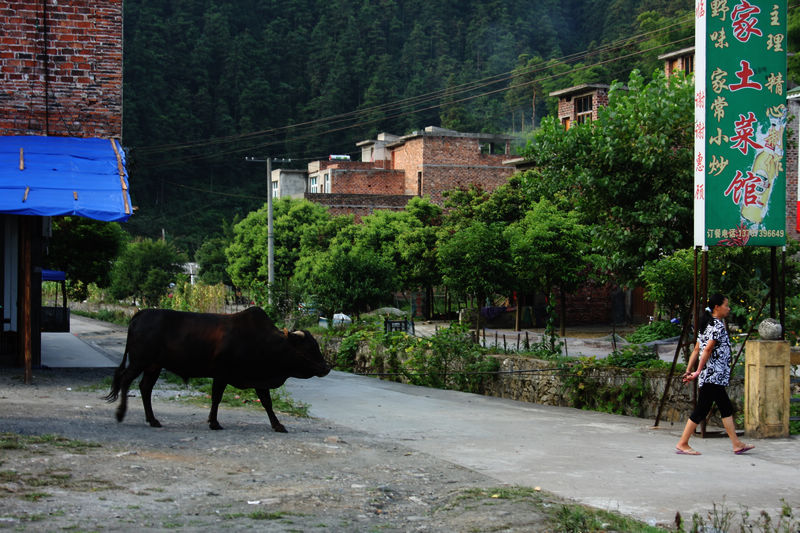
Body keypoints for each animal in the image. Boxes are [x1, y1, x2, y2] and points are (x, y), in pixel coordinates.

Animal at [104, 308, 330, 432]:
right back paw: (121, 413)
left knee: (145, 388)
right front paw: (213, 422)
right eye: (310, 348)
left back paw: (153, 420)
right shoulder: (221, 374)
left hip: (154, 366)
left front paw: (278, 425)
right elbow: (216, 398)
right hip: (139, 361)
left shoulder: (258, 378)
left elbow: (267, 403)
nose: (327, 367)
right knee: (126, 380)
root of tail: (140, 314)